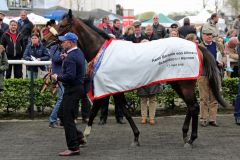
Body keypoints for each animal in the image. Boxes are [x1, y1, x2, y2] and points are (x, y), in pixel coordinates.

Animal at [43, 9, 229, 148]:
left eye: (62, 25)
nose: (45, 40)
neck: (101, 52)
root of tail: (196, 45)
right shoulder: (115, 89)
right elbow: (125, 111)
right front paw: (136, 137)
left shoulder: (106, 88)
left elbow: (96, 110)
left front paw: (84, 137)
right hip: (178, 82)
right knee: (191, 107)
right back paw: (185, 135)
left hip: (184, 84)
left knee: (194, 107)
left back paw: (191, 139)